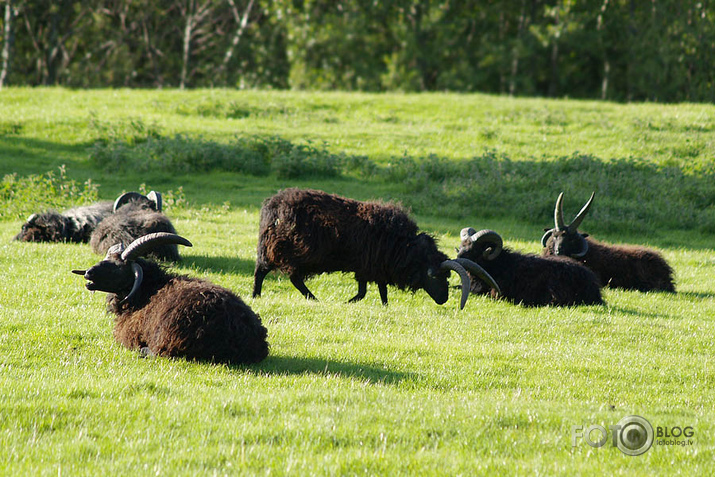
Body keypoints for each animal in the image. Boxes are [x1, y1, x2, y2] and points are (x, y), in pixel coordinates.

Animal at [253, 188, 504, 306]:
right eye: (434, 276)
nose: (443, 300)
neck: (406, 247)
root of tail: (272, 205)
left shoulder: (376, 267)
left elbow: (379, 292)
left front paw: (383, 306)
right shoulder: (367, 267)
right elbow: (363, 293)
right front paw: (349, 303)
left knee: (271, 272)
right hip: (287, 249)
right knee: (275, 274)